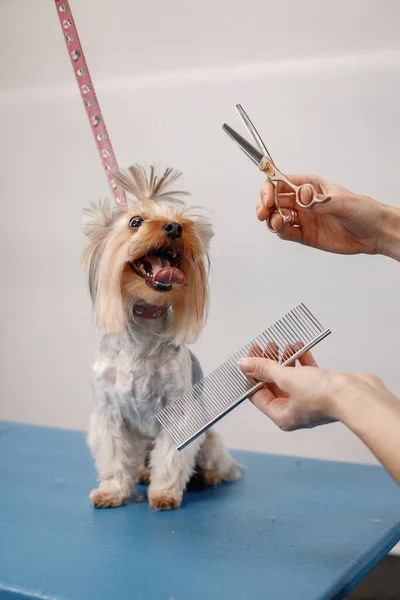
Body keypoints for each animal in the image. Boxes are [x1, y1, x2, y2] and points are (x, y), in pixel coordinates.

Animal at [81, 165, 241, 510]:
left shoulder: (179, 413)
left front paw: (165, 494)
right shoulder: (108, 412)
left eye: (181, 219)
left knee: (214, 460)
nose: (174, 227)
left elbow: (171, 458)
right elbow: (113, 456)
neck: (144, 323)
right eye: (135, 222)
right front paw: (112, 491)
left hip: (209, 437)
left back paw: (209, 476)